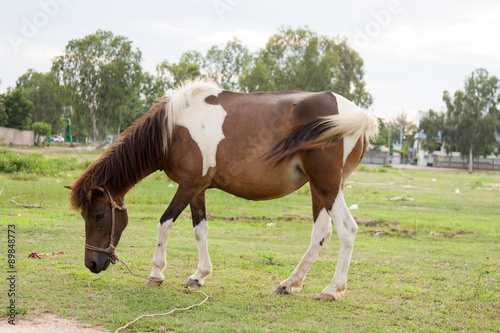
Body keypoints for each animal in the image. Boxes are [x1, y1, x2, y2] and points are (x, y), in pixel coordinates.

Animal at [67, 79, 378, 300]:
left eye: (99, 215)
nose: (91, 263)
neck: (174, 128)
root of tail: (356, 114)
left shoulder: (188, 185)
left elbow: (164, 222)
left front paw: (156, 273)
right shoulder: (197, 188)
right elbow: (200, 229)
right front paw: (199, 275)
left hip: (327, 187)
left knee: (347, 230)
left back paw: (332, 289)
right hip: (320, 189)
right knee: (321, 233)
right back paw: (290, 283)